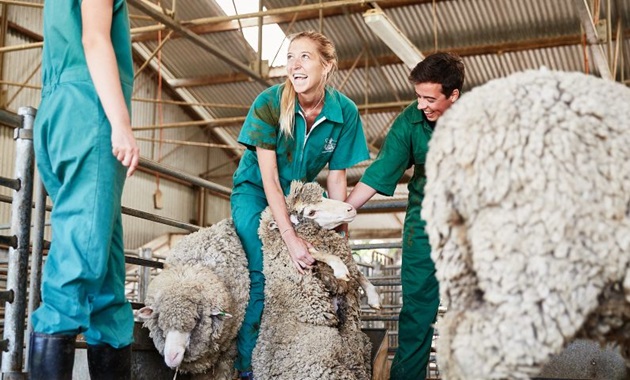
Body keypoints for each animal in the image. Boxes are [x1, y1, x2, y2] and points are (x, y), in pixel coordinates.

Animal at [252, 181, 380, 380]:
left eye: (324, 196)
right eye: (311, 213)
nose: (350, 209)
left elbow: (357, 272)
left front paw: (373, 297)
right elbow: (322, 255)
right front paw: (340, 269)